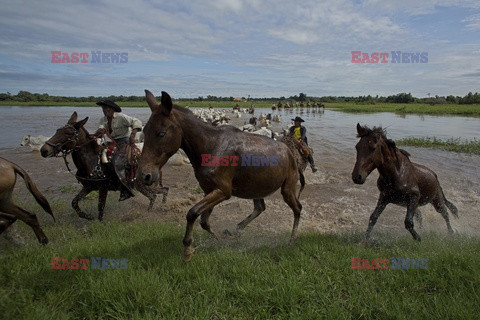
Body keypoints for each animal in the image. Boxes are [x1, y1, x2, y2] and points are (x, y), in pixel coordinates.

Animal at [40, 112, 170, 220]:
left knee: (156, 194)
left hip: (142, 185)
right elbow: (74, 202)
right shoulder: (88, 187)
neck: (91, 161)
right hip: (142, 185)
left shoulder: (103, 187)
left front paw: (99, 222)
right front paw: (87, 216)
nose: (44, 150)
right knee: (161, 192)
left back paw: (151, 212)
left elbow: (100, 208)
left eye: (67, 133)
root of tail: (158, 168)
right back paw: (160, 207)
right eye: (57, 130)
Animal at [137, 91, 302, 262]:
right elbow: (204, 221)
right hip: (256, 189)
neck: (210, 146)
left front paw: (188, 249)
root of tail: (289, 151)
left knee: (297, 208)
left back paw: (291, 239)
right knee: (260, 208)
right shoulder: (210, 190)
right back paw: (236, 231)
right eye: (145, 131)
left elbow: (192, 213)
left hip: (287, 188)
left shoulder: (223, 191)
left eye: (161, 133)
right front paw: (219, 239)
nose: (145, 175)